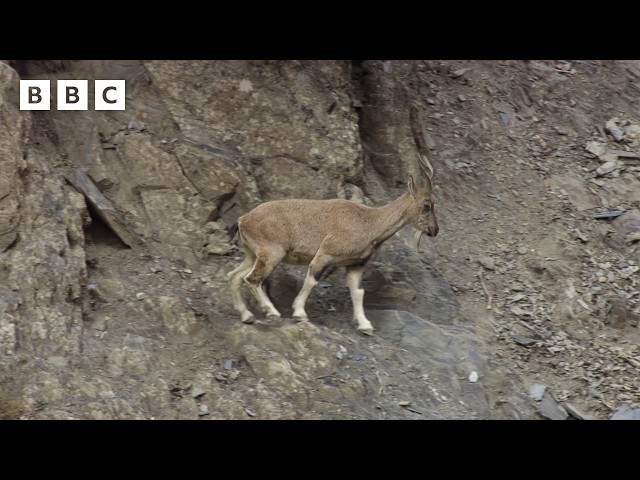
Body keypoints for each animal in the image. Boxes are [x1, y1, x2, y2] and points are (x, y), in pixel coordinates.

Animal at [226, 154, 440, 334]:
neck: (369, 222)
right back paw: (271, 311)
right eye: (426, 205)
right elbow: (312, 280)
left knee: (235, 276)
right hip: (271, 253)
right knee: (251, 279)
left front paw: (365, 325)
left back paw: (247, 315)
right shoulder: (325, 254)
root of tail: (242, 220)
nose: (434, 230)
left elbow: (357, 292)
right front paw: (299, 313)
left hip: (252, 254)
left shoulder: (355, 265)